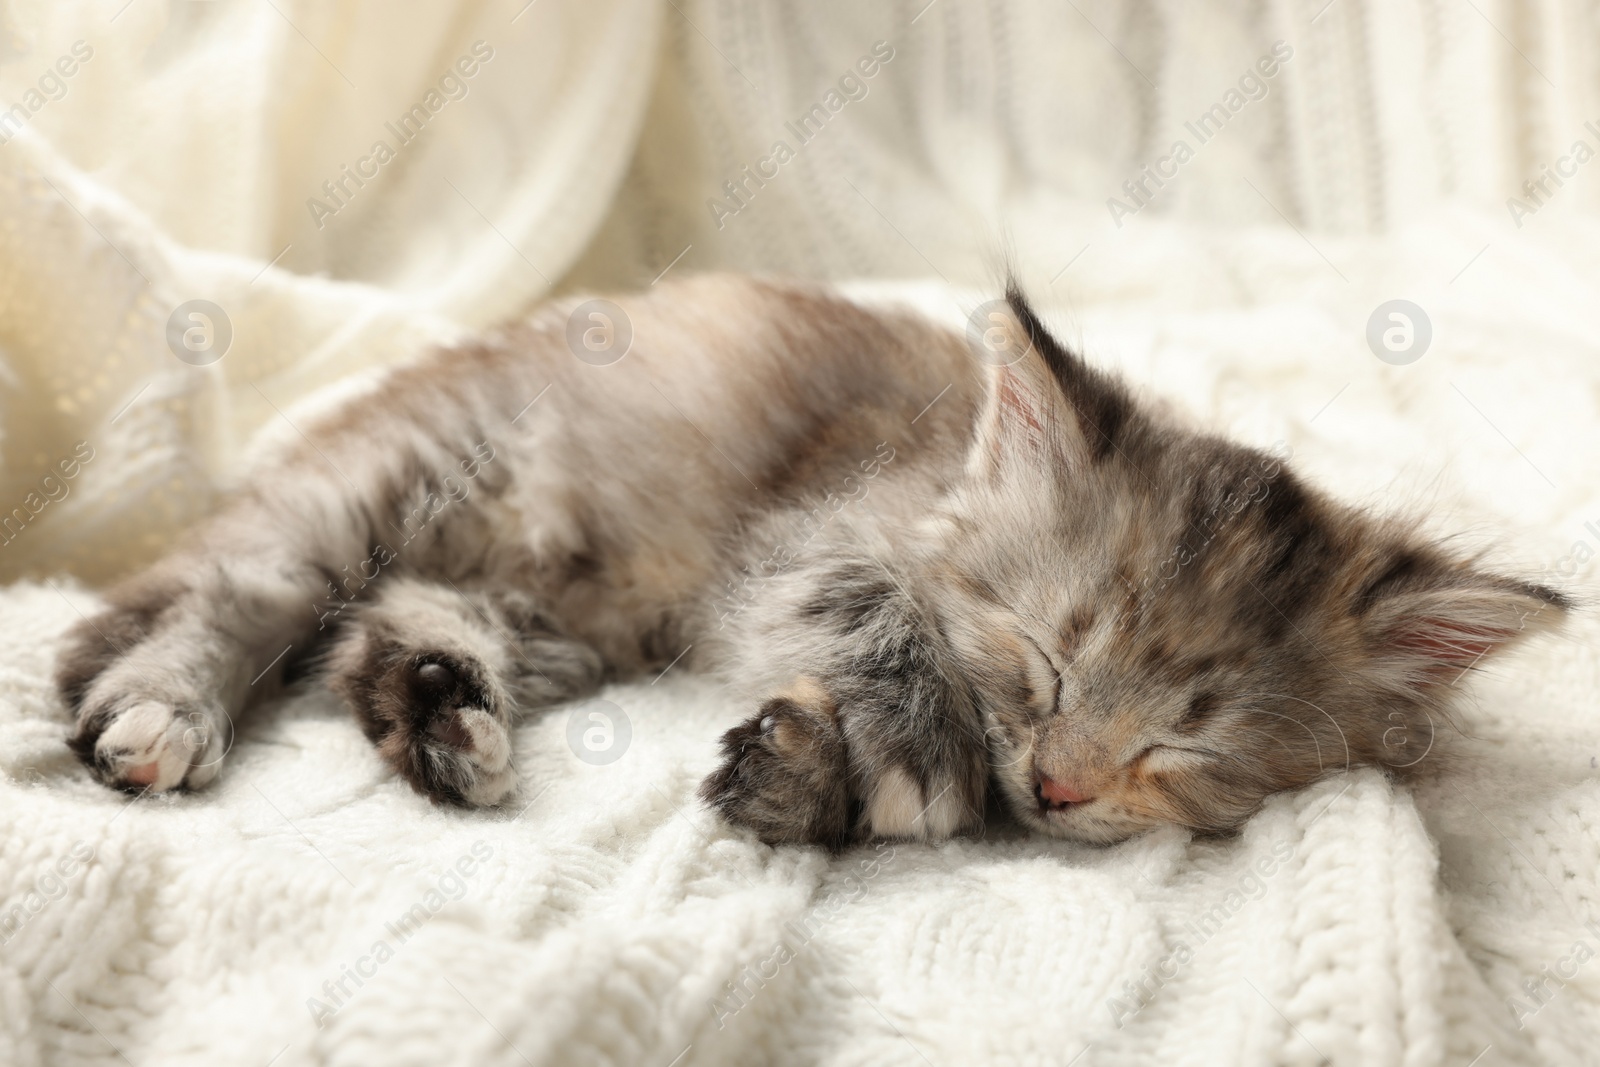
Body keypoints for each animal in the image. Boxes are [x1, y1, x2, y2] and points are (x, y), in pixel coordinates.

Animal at [56, 275, 1568, 844]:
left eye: (1183, 751)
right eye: (1041, 665)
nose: (1059, 786)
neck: (945, 464)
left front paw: (800, 779)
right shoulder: (819, 534)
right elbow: (877, 616)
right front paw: (914, 754)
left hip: (573, 606)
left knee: (397, 622)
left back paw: (439, 712)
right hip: (403, 472)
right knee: (237, 591)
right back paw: (160, 709)